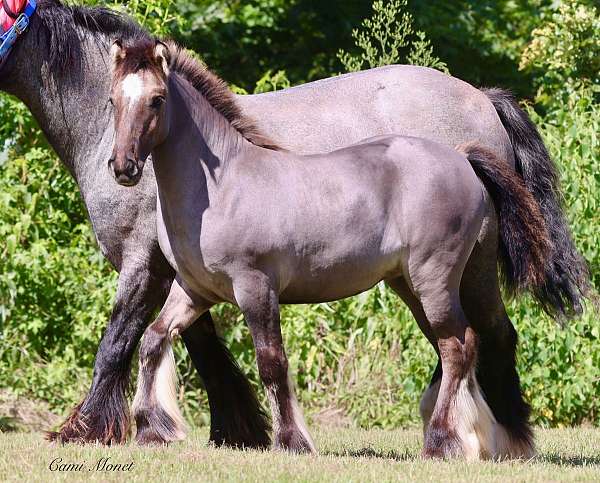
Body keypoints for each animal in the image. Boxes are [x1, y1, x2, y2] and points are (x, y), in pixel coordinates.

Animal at [0, 0, 592, 454]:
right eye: (110, 101)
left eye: (156, 100)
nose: (122, 168)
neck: (222, 177)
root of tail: (475, 127)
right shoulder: (191, 283)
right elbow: (170, 344)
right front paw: (186, 430)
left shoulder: (174, 270)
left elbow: (136, 346)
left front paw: (85, 430)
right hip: (427, 279)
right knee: (470, 339)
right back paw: (484, 437)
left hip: (445, 276)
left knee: (468, 341)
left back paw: (460, 439)